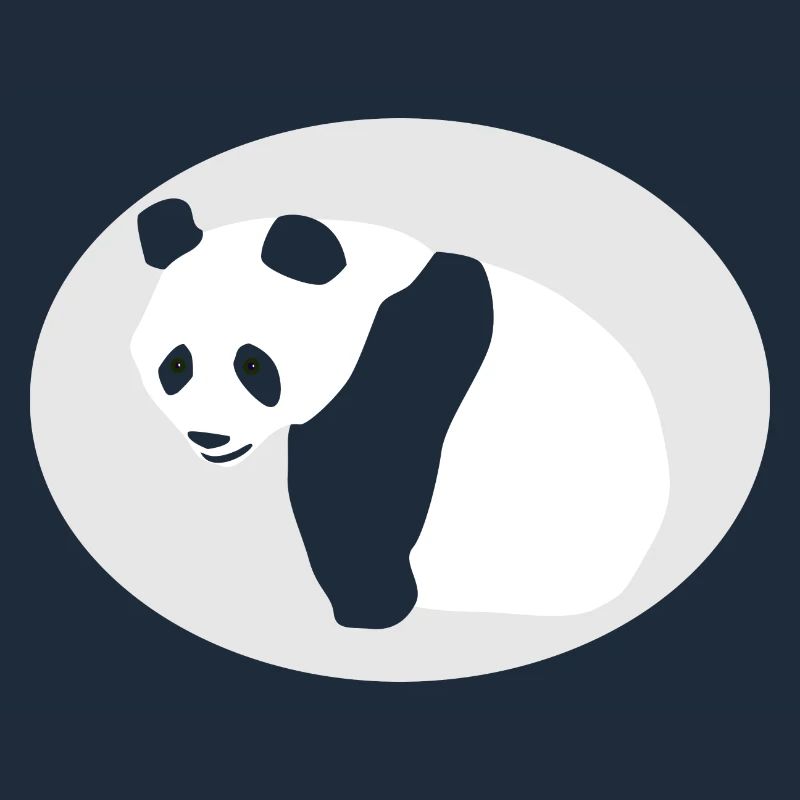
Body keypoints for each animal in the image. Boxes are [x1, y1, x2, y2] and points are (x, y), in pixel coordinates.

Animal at [131, 198, 670, 629]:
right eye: (176, 364)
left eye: (253, 365)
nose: (209, 437)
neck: (369, 289)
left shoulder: (403, 363)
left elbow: (357, 494)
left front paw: (369, 609)